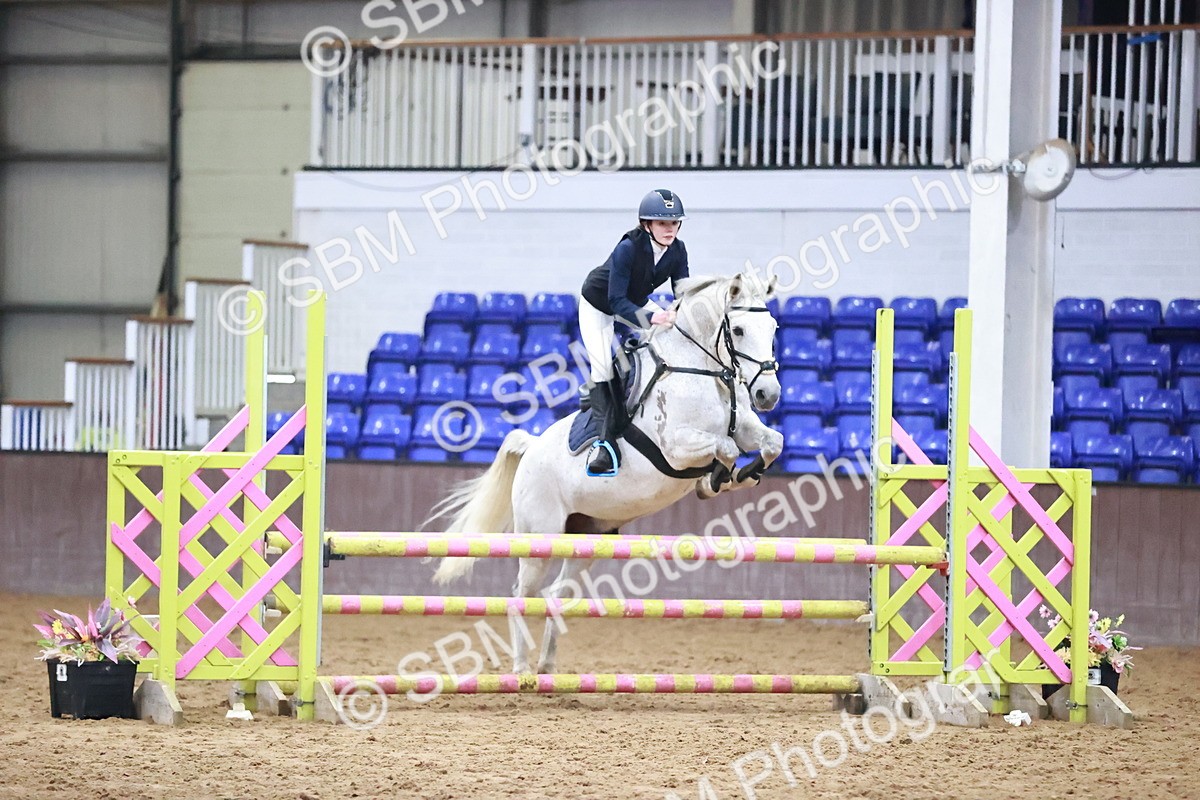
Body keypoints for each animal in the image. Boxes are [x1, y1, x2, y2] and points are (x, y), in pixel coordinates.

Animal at [429, 273, 784, 674]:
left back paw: (547, 667)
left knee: (557, 594)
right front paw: (714, 481)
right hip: (540, 538)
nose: (768, 394)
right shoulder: (675, 448)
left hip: (585, 537)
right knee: (522, 594)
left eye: (773, 328)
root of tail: (531, 447)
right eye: (737, 330)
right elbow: (725, 449)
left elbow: (771, 442)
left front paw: (742, 474)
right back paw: (521, 669)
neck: (699, 369)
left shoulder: (745, 429)